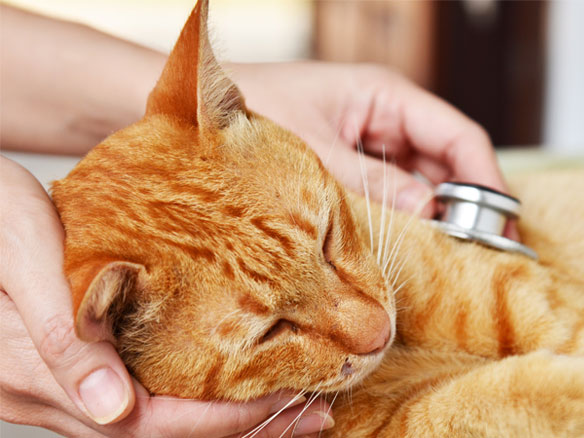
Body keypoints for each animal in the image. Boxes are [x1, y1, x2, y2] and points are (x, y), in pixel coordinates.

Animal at [51, 1, 584, 436]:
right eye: (271, 331)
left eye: (327, 238)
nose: (380, 332)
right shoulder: (395, 422)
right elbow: (475, 403)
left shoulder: (549, 305)